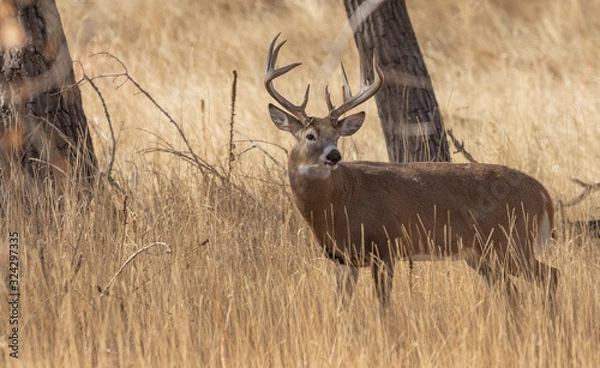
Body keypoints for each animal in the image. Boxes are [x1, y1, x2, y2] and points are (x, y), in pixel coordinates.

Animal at [264, 34, 560, 306]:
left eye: (336, 136)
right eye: (310, 136)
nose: (334, 155)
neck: (337, 202)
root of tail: (543, 193)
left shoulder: (384, 246)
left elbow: (384, 306)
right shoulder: (343, 259)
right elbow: (341, 306)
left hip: (511, 242)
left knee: (551, 275)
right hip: (482, 254)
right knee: (512, 294)